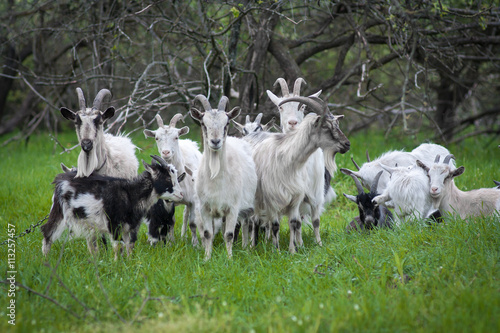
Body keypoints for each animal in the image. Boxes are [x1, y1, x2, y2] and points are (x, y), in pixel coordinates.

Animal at [41, 154, 186, 258]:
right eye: (168, 178)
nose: (181, 194)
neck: (131, 194)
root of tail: (61, 179)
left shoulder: (132, 225)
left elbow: (130, 246)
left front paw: (129, 263)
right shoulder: (113, 223)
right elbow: (118, 246)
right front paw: (117, 265)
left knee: (91, 242)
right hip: (59, 211)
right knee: (48, 232)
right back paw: (46, 261)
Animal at [144, 113, 202, 245]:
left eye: (176, 137)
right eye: (156, 138)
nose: (166, 152)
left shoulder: (193, 200)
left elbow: (193, 223)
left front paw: (195, 244)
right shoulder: (167, 201)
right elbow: (171, 222)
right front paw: (171, 242)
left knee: (186, 215)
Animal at [188, 94, 256, 260]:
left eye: (226, 123)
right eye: (203, 123)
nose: (215, 141)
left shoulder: (233, 207)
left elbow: (229, 234)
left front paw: (229, 258)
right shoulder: (204, 208)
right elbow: (207, 234)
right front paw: (207, 258)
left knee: (247, 223)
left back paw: (246, 247)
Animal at [250, 94, 352, 253]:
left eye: (337, 125)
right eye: (325, 126)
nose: (347, 144)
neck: (288, 161)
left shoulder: (295, 198)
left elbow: (293, 222)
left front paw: (293, 251)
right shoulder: (272, 200)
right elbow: (275, 225)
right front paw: (276, 251)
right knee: (254, 220)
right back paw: (252, 246)